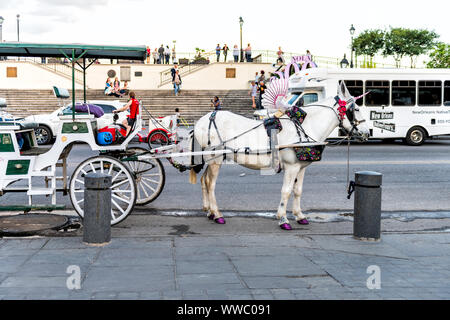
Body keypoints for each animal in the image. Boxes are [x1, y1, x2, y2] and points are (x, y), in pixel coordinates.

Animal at [190, 85, 370, 230]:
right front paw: (283, 218)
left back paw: (209, 211)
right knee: (211, 184)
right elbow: (286, 191)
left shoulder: (301, 168)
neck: (304, 126)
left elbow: (297, 191)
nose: (367, 133)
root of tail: (202, 120)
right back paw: (217, 214)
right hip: (215, 159)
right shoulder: (291, 167)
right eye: (356, 109)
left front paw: (299, 215)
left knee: (204, 180)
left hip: (210, 159)